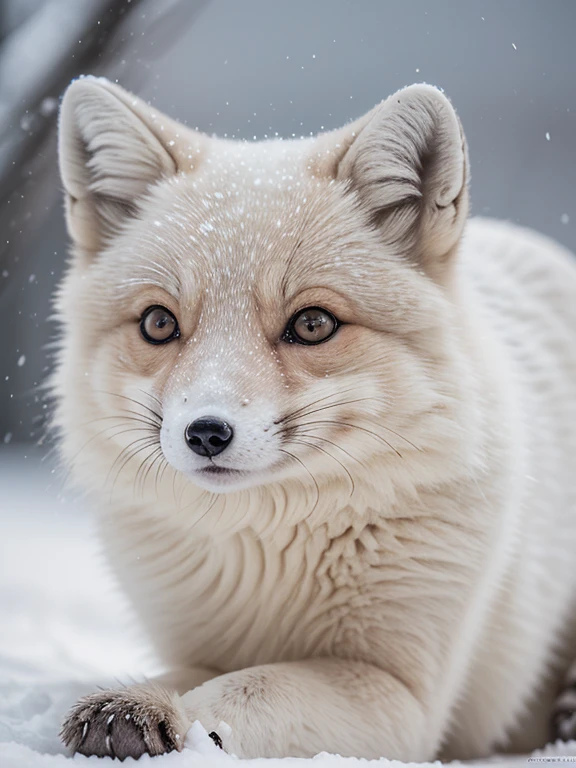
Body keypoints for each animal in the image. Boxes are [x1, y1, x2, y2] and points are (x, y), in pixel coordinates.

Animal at [54, 75, 576, 760]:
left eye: (312, 324)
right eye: (159, 323)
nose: (206, 433)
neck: (269, 547)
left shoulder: (402, 693)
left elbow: (250, 689)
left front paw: (172, 715)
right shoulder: (201, 643)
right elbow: (191, 674)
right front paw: (137, 699)